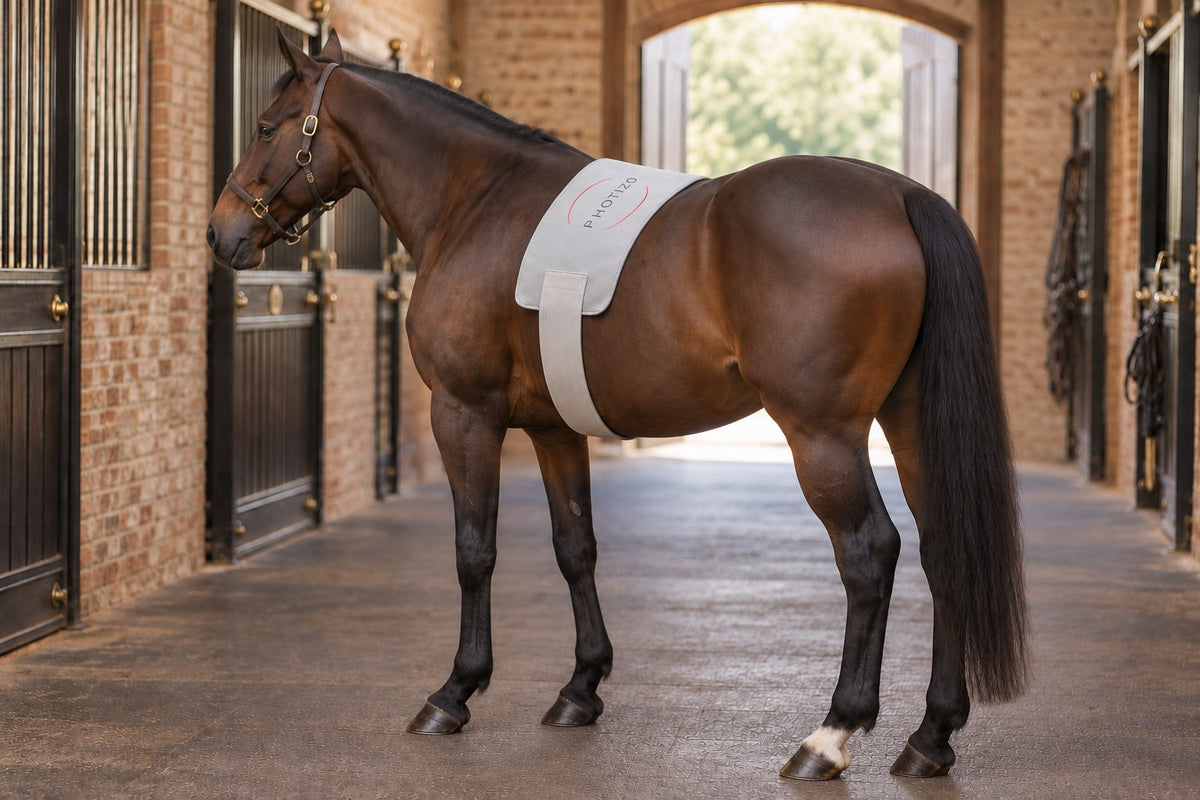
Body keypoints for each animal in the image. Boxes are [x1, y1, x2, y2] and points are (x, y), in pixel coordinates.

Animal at [207, 30, 1028, 781]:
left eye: (267, 126)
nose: (222, 232)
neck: (475, 201)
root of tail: (902, 195)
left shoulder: (463, 413)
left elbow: (475, 550)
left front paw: (455, 692)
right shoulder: (553, 429)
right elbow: (577, 548)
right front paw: (581, 687)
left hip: (822, 436)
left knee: (868, 554)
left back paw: (830, 736)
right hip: (910, 424)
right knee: (942, 548)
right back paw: (930, 737)